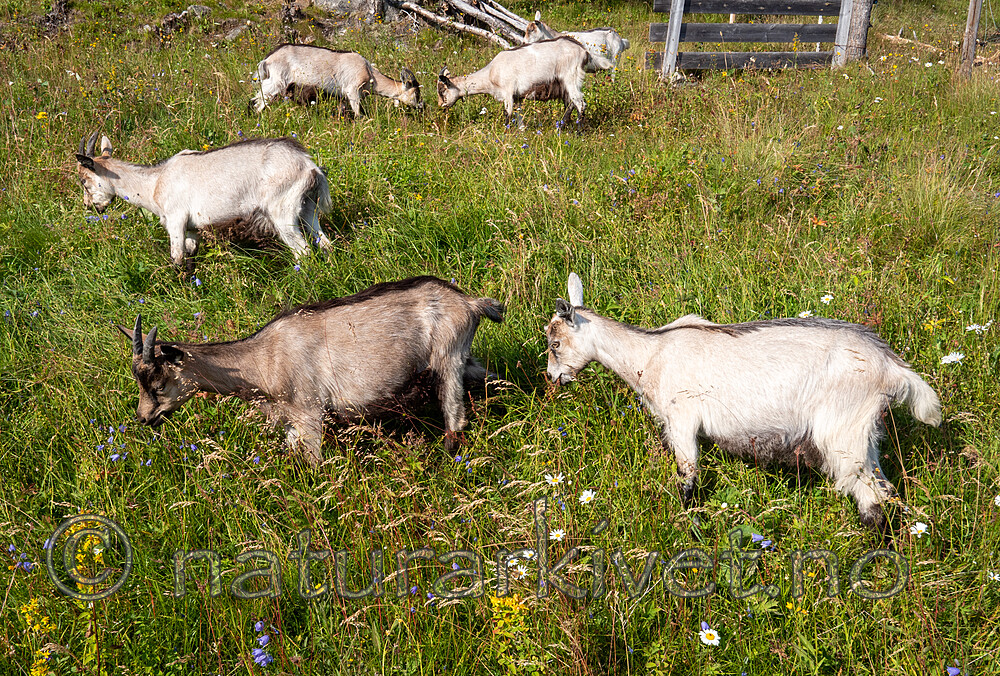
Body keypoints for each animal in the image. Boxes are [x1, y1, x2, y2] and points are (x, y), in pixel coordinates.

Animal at [75, 133, 332, 267]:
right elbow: (190, 255)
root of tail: (308, 165)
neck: (156, 182)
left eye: (83, 180)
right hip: (308, 208)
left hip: (282, 212)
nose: (90, 206)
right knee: (324, 242)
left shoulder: (176, 220)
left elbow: (177, 258)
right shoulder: (192, 228)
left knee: (303, 251)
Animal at [118, 276, 505, 467]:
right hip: (463, 358)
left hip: (447, 359)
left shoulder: (309, 413)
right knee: (487, 377)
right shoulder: (291, 421)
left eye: (157, 381)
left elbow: (313, 464)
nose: (144, 418)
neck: (264, 358)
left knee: (455, 415)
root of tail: (470, 303)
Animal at [250, 44, 423, 116]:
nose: (422, 107)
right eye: (416, 94)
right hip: (277, 82)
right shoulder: (353, 90)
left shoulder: (343, 97)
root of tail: (267, 60)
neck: (370, 74)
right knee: (259, 99)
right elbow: (358, 114)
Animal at [437, 37, 611, 127]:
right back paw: (562, 126)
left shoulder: (507, 92)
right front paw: (521, 132)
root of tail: (584, 51)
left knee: (580, 104)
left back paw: (578, 130)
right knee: (571, 104)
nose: (440, 106)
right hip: (566, 84)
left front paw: (506, 134)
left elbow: (508, 114)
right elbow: (519, 115)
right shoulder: (518, 96)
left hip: (571, 77)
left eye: (442, 90)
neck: (490, 74)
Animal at [545, 273, 942, 531]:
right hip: (864, 432)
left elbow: (687, 477)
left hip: (842, 431)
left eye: (554, 343)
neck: (650, 354)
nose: (553, 378)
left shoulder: (682, 418)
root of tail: (890, 365)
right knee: (885, 490)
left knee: (870, 495)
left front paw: (685, 525)